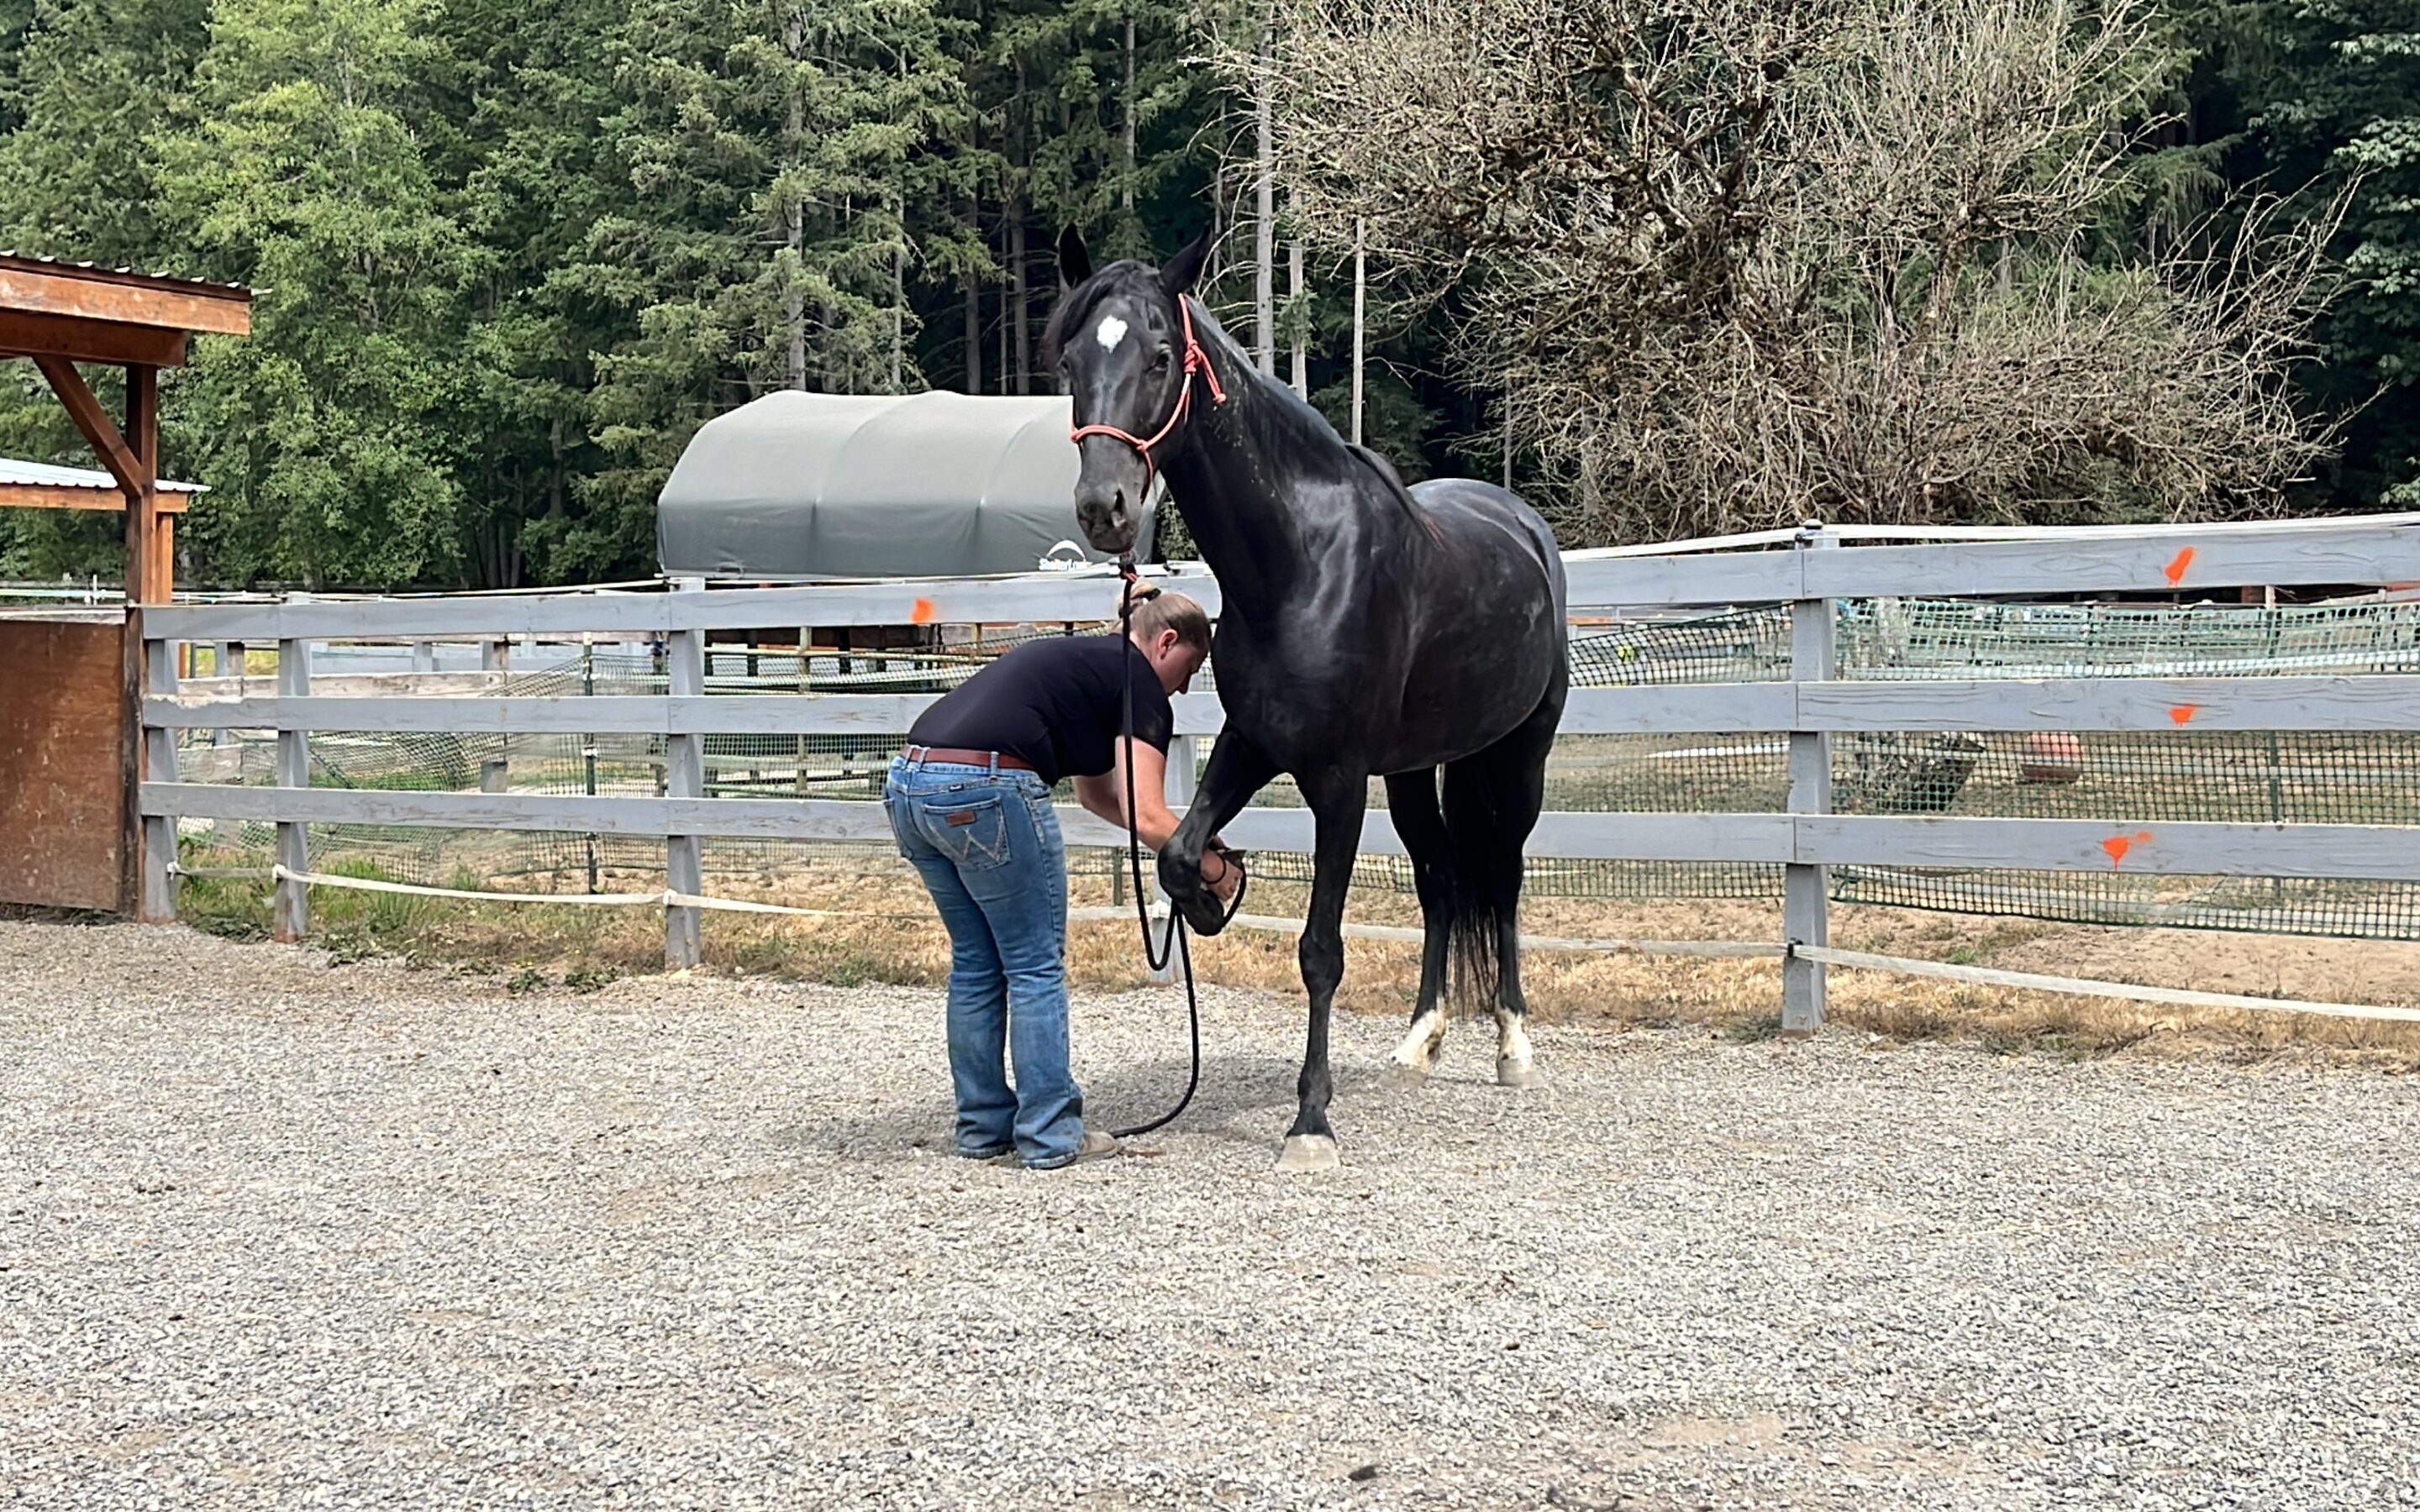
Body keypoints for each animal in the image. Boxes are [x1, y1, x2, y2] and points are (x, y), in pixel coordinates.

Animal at [1055, 227, 1568, 1166]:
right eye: (1071, 358)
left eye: (1158, 355)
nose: (1103, 506)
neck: (1297, 563)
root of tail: (1523, 525)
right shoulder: (1255, 745)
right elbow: (1178, 850)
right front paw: (1208, 897)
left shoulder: (1336, 776)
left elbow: (1321, 949)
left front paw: (1311, 1122)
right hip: (1415, 772)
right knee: (1442, 880)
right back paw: (1420, 1040)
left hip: (1519, 756)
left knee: (1503, 877)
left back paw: (1512, 1045)